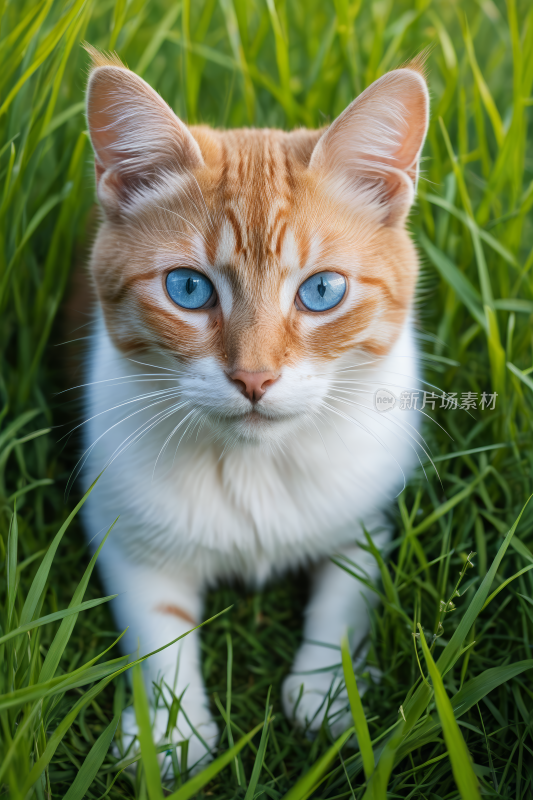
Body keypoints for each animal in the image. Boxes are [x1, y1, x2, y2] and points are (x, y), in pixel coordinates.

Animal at [80, 45, 428, 776]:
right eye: (188, 288)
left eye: (322, 291)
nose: (254, 378)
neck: (254, 465)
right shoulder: (123, 529)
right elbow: (158, 626)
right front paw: (173, 732)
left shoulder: (368, 513)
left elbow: (346, 592)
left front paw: (326, 693)